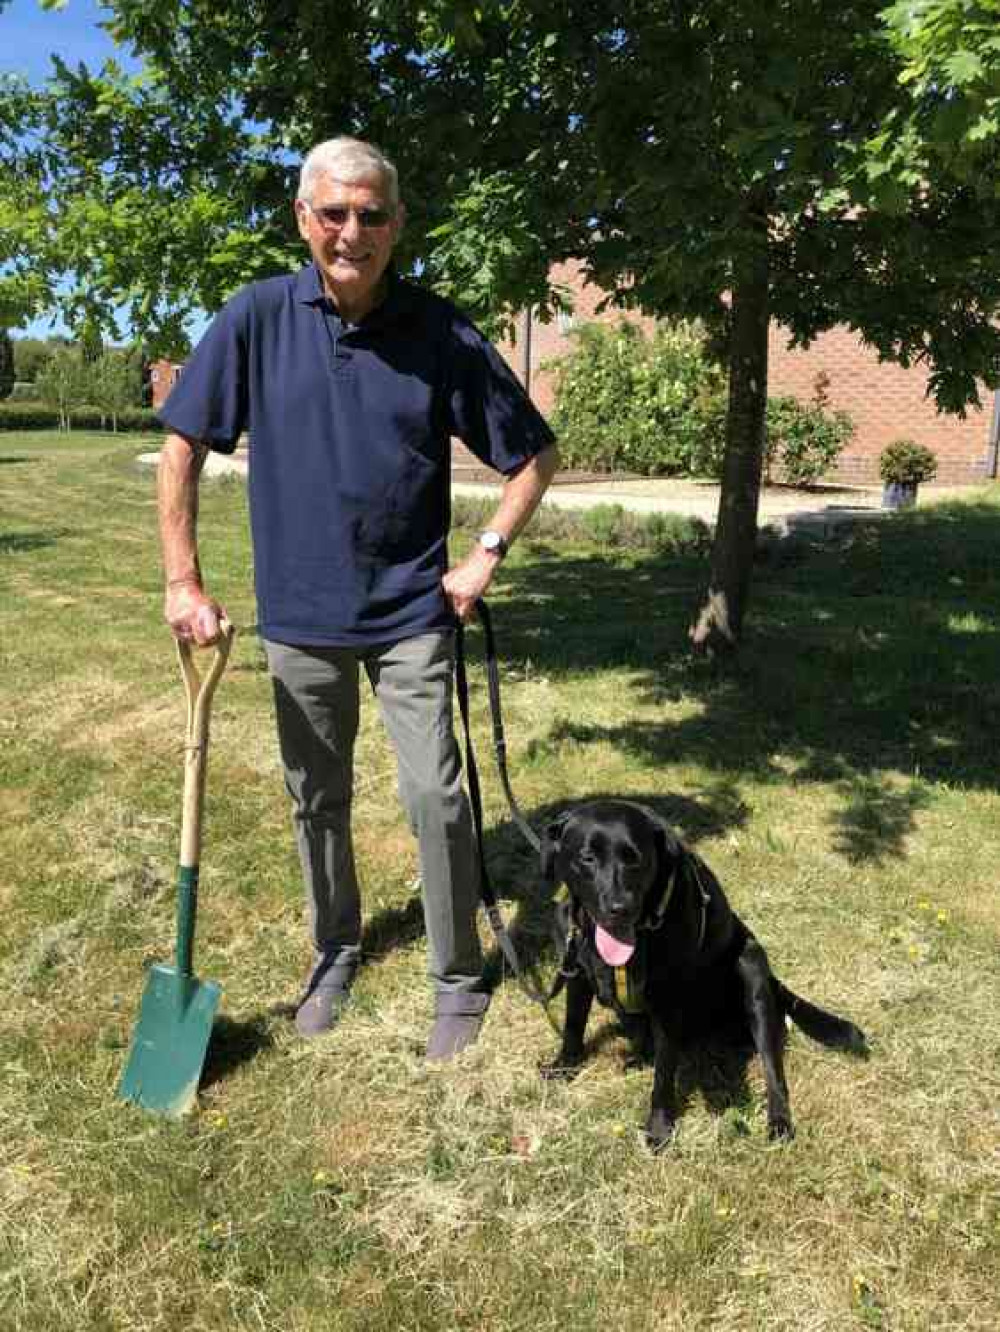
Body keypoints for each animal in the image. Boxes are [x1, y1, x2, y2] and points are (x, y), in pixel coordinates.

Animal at [540, 793, 868, 1150]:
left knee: (774, 1072)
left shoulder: (668, 1003)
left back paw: (779, 1121)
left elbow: (663, 1075)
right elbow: (573, 1025)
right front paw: (564, 1067)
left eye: (636, 860)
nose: (620, 908)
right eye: (587, 858)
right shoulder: (576, 972)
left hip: (751, 970)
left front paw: (659, 1127)